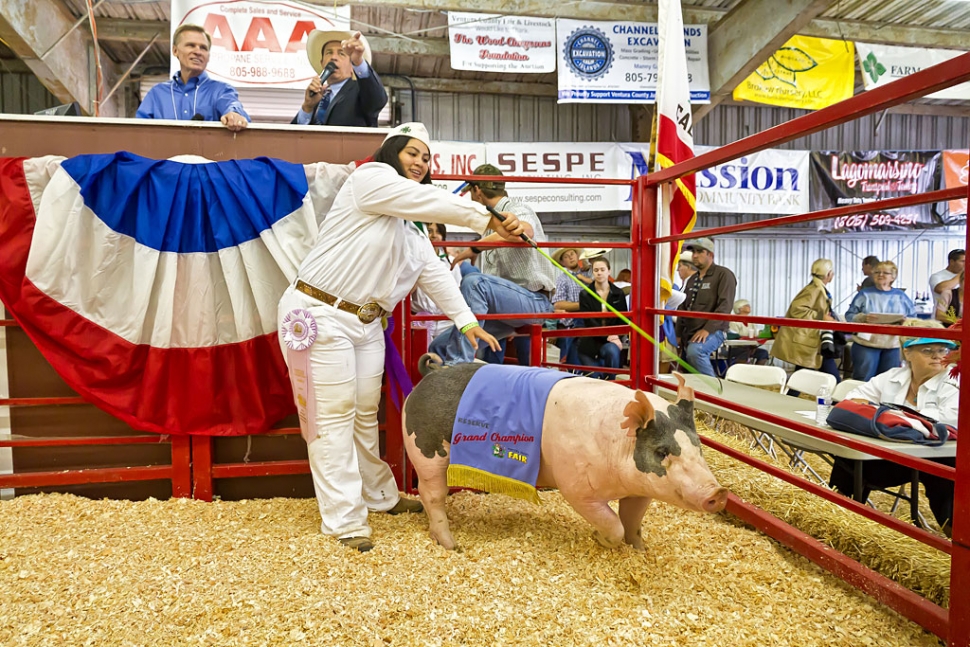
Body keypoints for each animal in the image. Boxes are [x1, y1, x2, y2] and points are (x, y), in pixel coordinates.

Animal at [400, 370, 728, 552]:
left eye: (697, 445)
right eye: (662, 451)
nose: (718, 492)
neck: (616, 445)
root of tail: (426, 380)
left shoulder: (640, 490)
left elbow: (632, 521)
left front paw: (641, 550)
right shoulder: (577, 488)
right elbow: (613, 524)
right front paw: (599, 539)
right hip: (427, 452)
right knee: (432, 494)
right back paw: (452, 545)